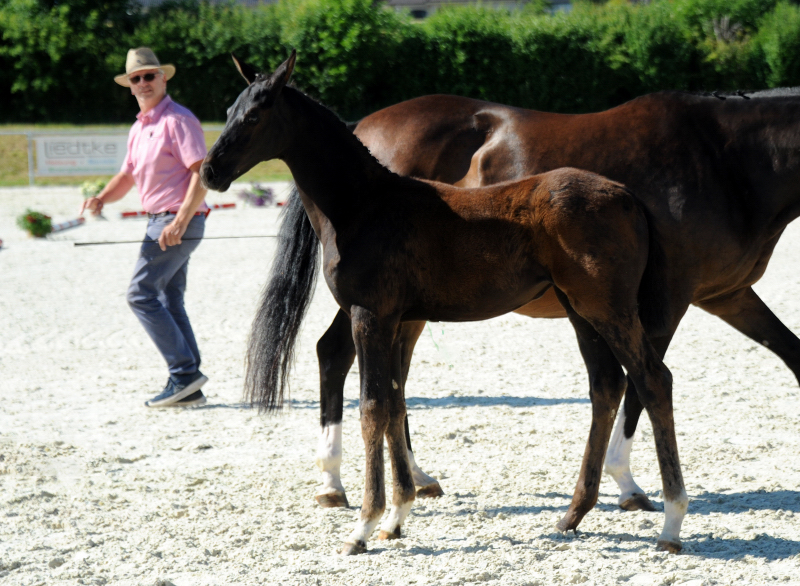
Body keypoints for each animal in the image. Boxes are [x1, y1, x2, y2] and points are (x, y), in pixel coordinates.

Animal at [202, 53, 688, 552]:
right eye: (230, 111)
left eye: (255, 116)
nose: (209, 172)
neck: (365, 207)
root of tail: (628, 197)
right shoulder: (399, 320)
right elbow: (394, 404)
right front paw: (396, 517)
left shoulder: (370, 316)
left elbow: (373, 409)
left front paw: (363, 527)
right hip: (581, 312)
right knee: (607, 386)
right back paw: (573, 515)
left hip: (607, 309)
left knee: (654, 380)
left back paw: (671, 522)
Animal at [268, 88, 800, 516]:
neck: (721, 159)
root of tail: (362, 129)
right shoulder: (667, 301)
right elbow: (639, 385)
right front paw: (626, 483)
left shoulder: (728, 294)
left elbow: (790, 354)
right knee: (336, 354)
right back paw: (334, 482)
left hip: (410, 310)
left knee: (390, 373)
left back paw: (413, 479)